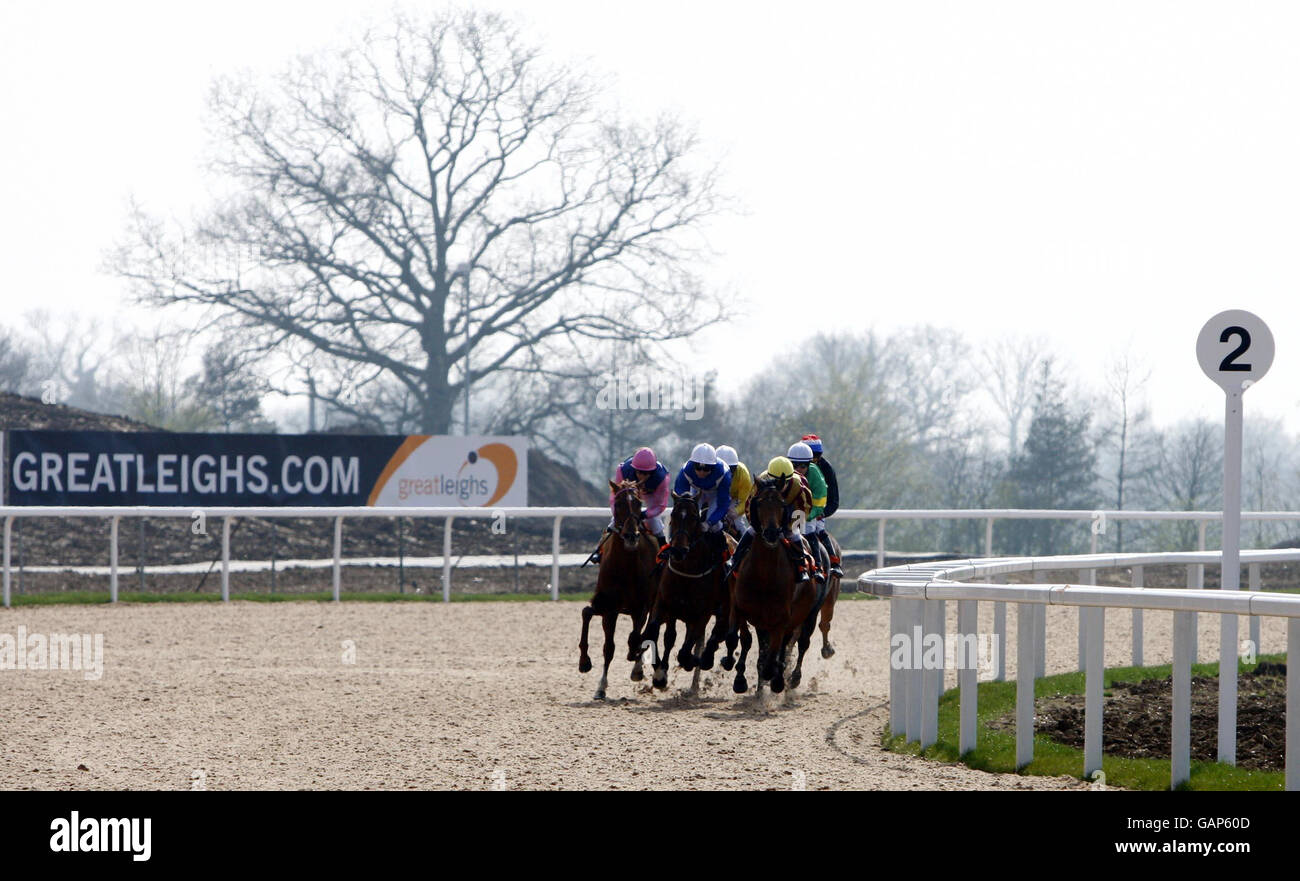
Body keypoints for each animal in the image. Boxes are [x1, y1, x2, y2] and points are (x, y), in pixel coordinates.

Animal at [579, 480, 660, 701]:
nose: (632, 536)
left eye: (639, 503)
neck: (625, 566)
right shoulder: (608, 607)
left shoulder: (641, 607)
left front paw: (636, 665)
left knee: (646, 634)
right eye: (618, 504)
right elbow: (606, 643)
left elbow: (636, 638)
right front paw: (588, 667)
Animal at [639, 493, 733, 691]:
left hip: (726, 608)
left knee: (719, 632)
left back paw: (706, 659)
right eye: (674, 515)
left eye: (694, 518)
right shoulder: (664, 605)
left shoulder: (702, 614)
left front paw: (692, 661)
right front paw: (660, 674)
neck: (687, 571)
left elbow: (685, 650)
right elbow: (655, 633)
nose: (678, 551)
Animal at [728, 483, 826, 696]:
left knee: (791, 645)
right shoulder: (740, 607)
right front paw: (738, 677)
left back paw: (782, 679)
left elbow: (773, 655)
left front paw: (774, 678)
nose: (772, 533)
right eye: (759, 503)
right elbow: (739, 638)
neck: (764, 575)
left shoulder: (781, 620)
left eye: (782, 504)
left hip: (801, 614)